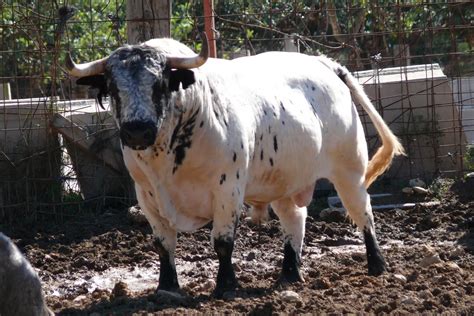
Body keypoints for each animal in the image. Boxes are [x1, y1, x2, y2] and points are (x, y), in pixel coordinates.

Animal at [66, 34, 404, 296]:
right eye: (112, 86)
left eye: (160, 83)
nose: (137, 129)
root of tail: (323, 64)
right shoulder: (146, 196)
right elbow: (163, 244)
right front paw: (167, 287)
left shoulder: (227, 190)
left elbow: (223, 242)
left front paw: (226, 286)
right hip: (284, 182)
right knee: (295, 221)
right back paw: (289, 273)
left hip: (350, 170)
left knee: (363, 213)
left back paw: (377, 264)